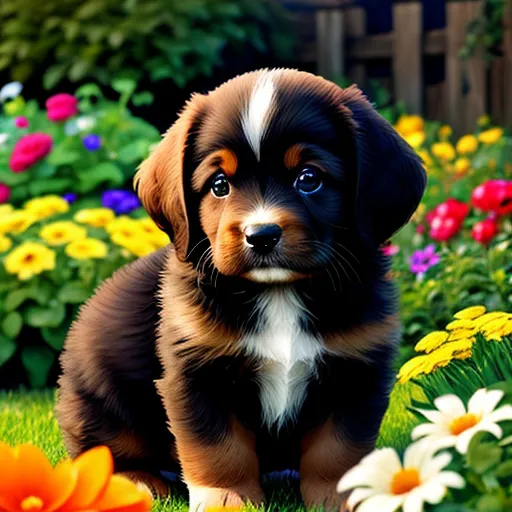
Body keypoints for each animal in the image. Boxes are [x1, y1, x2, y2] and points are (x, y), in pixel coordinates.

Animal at [56, 69, 426, 512]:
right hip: (101, 400)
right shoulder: (196, 373)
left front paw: (342, 497)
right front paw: (227, 498)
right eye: (219, 185)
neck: (280, 294)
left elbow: (338, 450)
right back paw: (136, 482)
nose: (261, 235)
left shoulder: (357, 371)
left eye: (309, 179)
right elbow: (218, 448)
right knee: (102, 453)